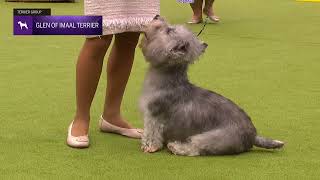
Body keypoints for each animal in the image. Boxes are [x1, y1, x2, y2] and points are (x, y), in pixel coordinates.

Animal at [139, 15, 284, 156]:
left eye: (169, 30)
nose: (157, 16)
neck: (168, 80)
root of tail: (253, 136)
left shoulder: (153, 115)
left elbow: (151, 132)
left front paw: (149, 146)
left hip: (213, 137)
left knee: (196, 148)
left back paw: (175, 147)